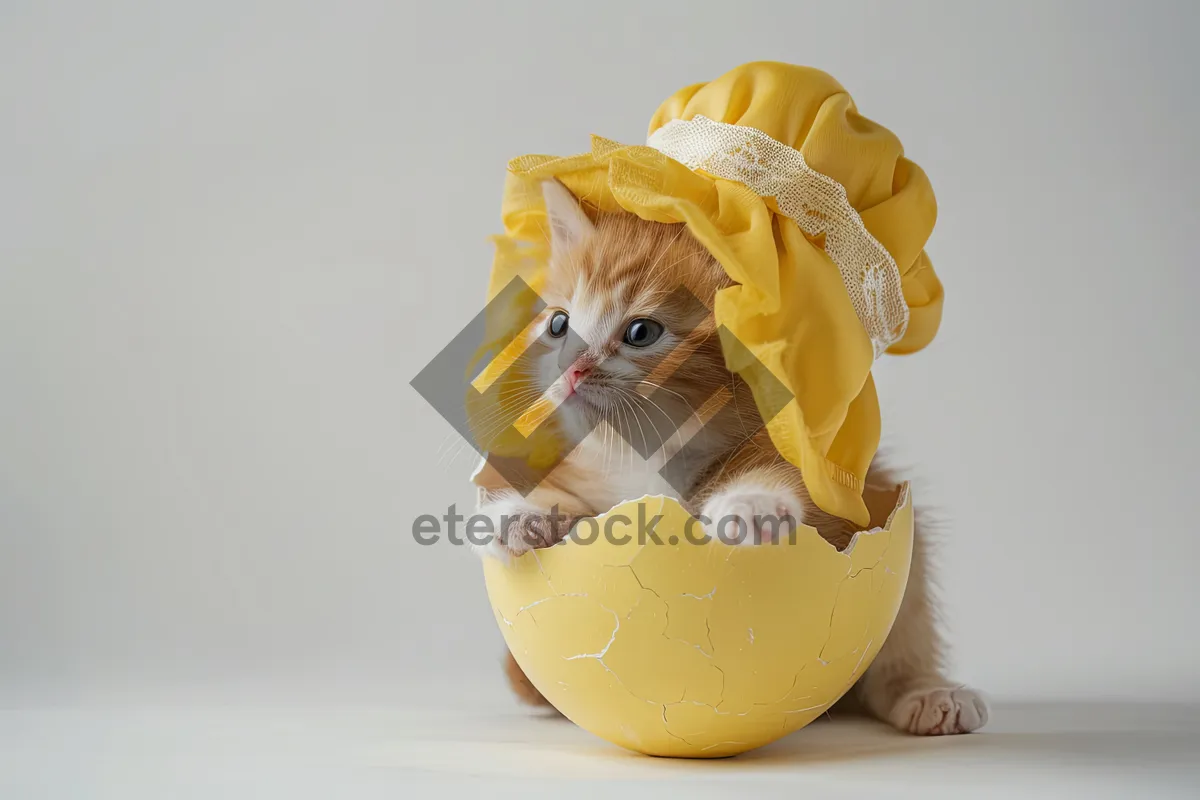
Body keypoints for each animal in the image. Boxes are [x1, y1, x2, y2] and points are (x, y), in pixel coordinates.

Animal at [472, 181, 988, 738]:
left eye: (640, 333)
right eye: (559, 324)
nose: (570, 370)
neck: (648, 451)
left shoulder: (824, 475)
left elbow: (797, 488)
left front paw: (751, 505)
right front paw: (519, 516)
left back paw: (926, 692)